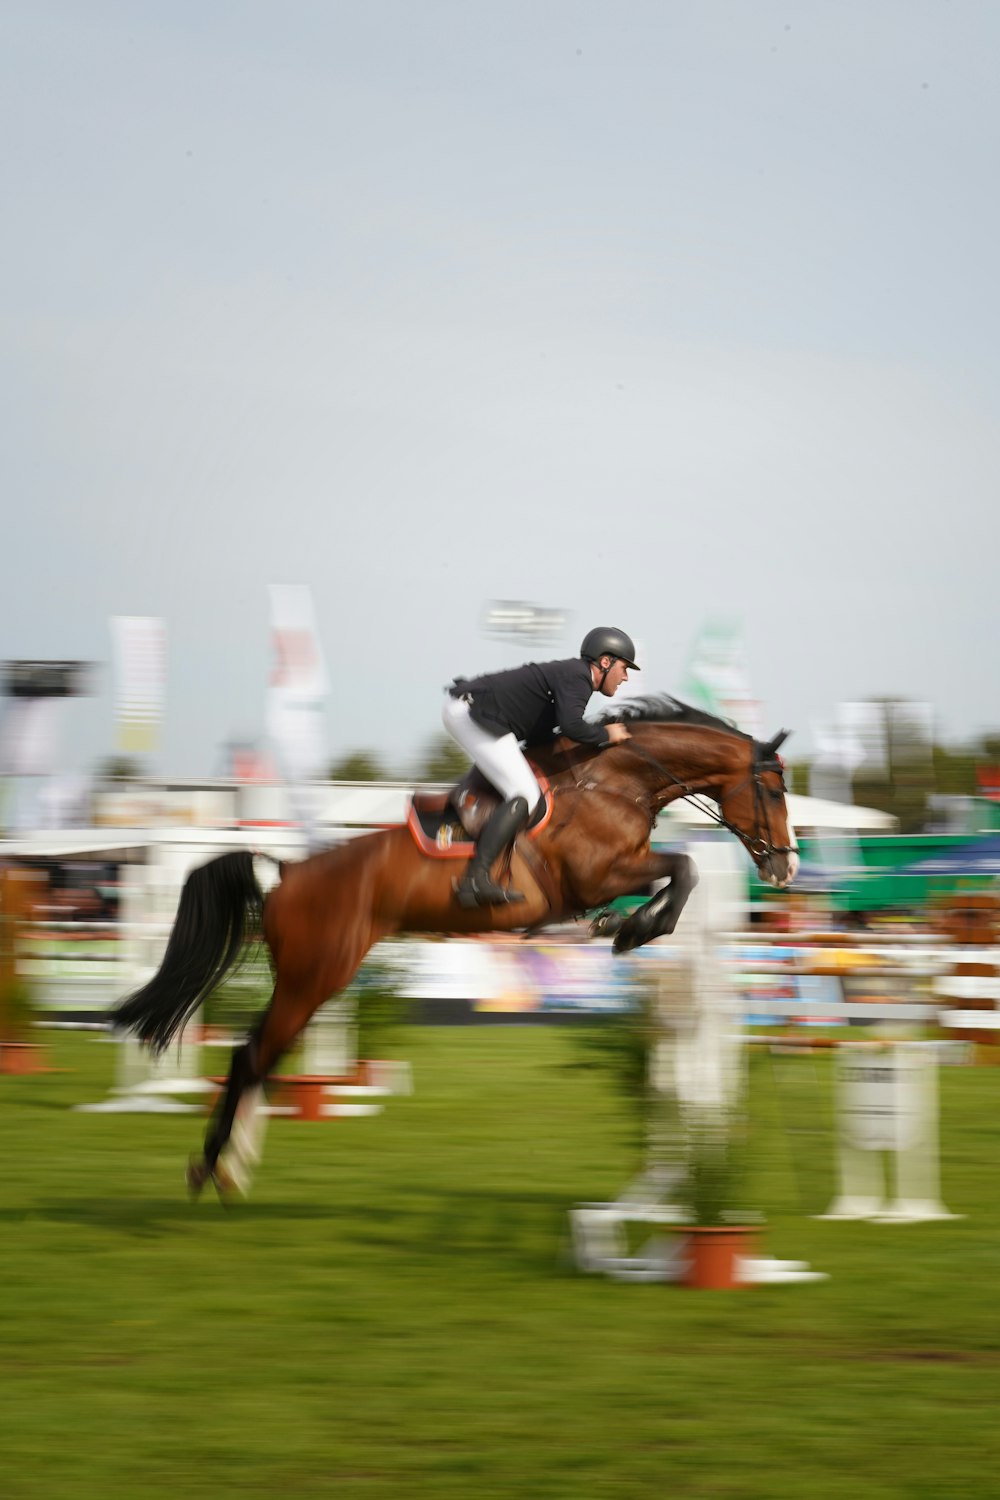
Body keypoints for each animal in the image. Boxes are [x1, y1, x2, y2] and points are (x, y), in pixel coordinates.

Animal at [111, 696, 797, 1200]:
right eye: (774, 790)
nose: (786, 868)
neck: (614, 780)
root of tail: (286, 873)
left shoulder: (616, 873)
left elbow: (677, 873)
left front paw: (625, 927)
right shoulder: (595, 874)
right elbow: (684, 867)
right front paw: (632, 930)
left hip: (313, 981)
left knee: (260, 1059)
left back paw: (231, 1169)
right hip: (313, 977)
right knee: (251, 1057)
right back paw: (208, 1168)